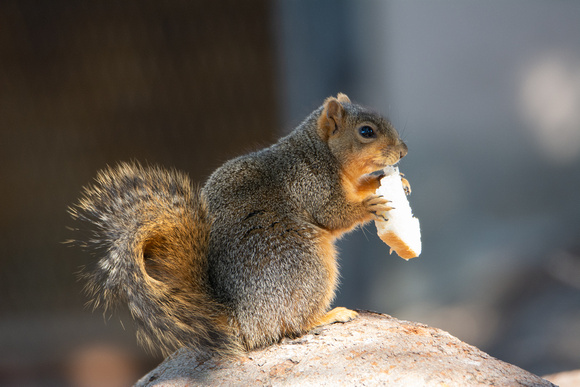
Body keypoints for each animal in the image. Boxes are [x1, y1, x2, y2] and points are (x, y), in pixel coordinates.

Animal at [69, 93, 408, 358]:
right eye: (366, 131)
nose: (403, 150)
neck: (321, 152)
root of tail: (240, 319)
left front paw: (389, 181)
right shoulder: (311, 184)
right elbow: (334, 215)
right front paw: (369, 205)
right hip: (307, 264)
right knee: (293, 324)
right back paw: (328, 316)